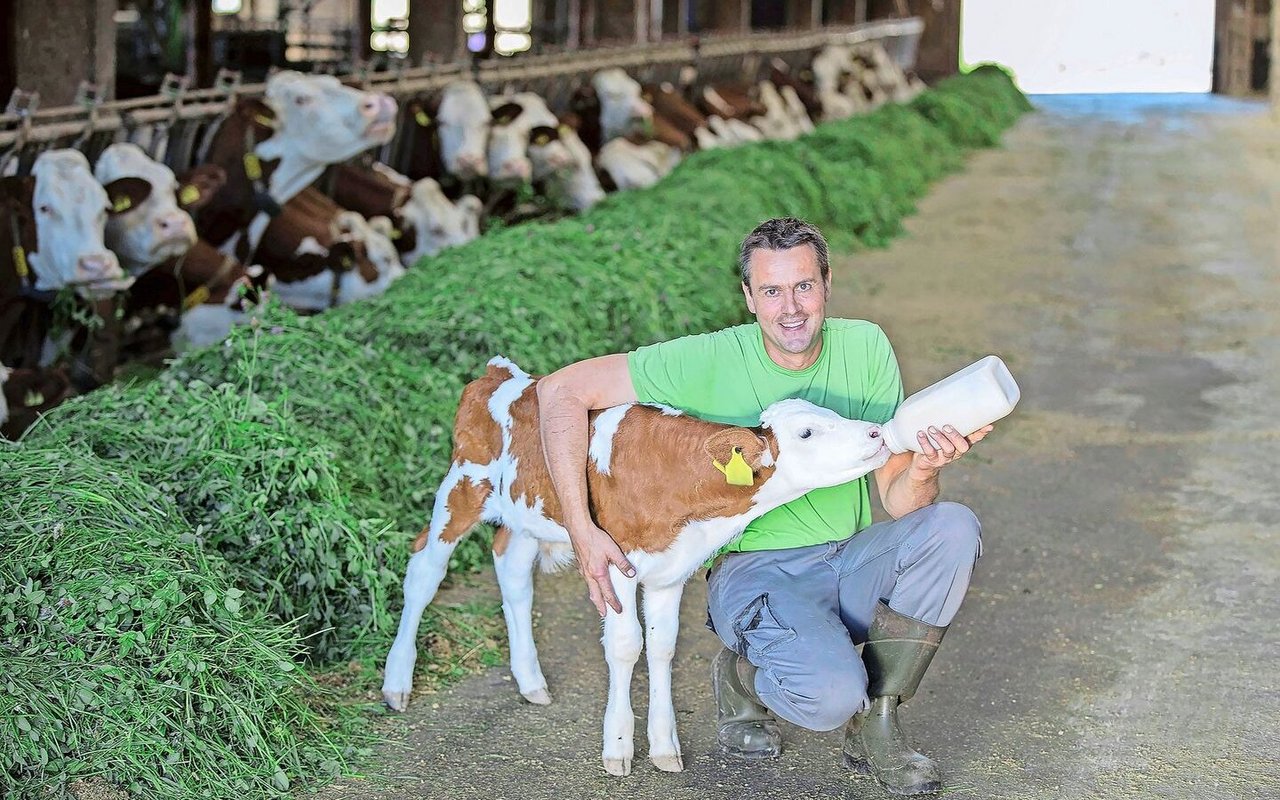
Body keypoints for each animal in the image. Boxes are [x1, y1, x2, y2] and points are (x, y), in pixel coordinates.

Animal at [378, 355, 890, 773]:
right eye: (806, 431)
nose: (877, 432)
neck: (676, 480)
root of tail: (502, 375)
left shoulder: (670, 569)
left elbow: (662, 647)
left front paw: (664, 746)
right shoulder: (613, 562)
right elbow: (626, 646)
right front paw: (618, 746)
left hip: (527, 514)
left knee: (512, 572)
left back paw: (531, 681)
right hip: (462, 486)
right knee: (424, 571)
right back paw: (397, 683)